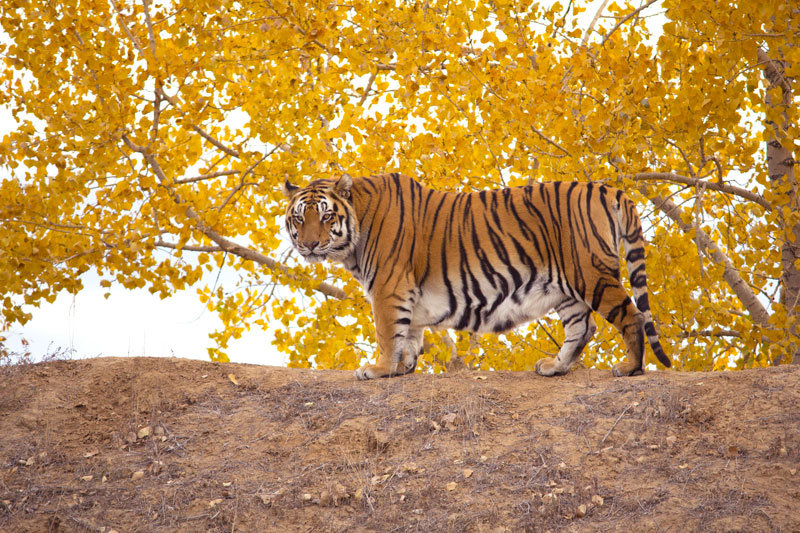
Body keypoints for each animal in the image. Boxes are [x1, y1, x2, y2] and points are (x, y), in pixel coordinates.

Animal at [282, 172, 671, 380]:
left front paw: (378, 370)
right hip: (565, 287)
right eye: (300, 217)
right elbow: (409, 333)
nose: (309, 244)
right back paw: (554, 367)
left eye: (327, 216)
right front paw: (403, 367)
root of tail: (608, 188)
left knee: (631, 315)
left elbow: (387, 333)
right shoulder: (406, 293)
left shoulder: (388, 287)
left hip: (589, 273)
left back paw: (629, 367)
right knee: (583, 327)